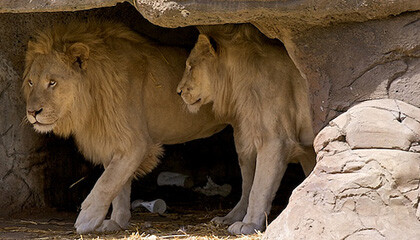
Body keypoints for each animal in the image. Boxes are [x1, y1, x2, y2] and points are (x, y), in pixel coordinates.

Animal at [22, 21, 226, 233]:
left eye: (52, 82)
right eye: (31, 82)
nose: (32, 112)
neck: (91, 100)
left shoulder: (135, 142)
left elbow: (106, 182)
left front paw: (87, 218)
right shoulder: (113, 142)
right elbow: (119, 187)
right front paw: (116, 222)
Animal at [176, 23, 316, 234]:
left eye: (191, 66)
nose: (178, 91)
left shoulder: (275, 140)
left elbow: (258, 187)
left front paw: (248, 224)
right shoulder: (250, 139)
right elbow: (247, 184)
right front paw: (229, 218)